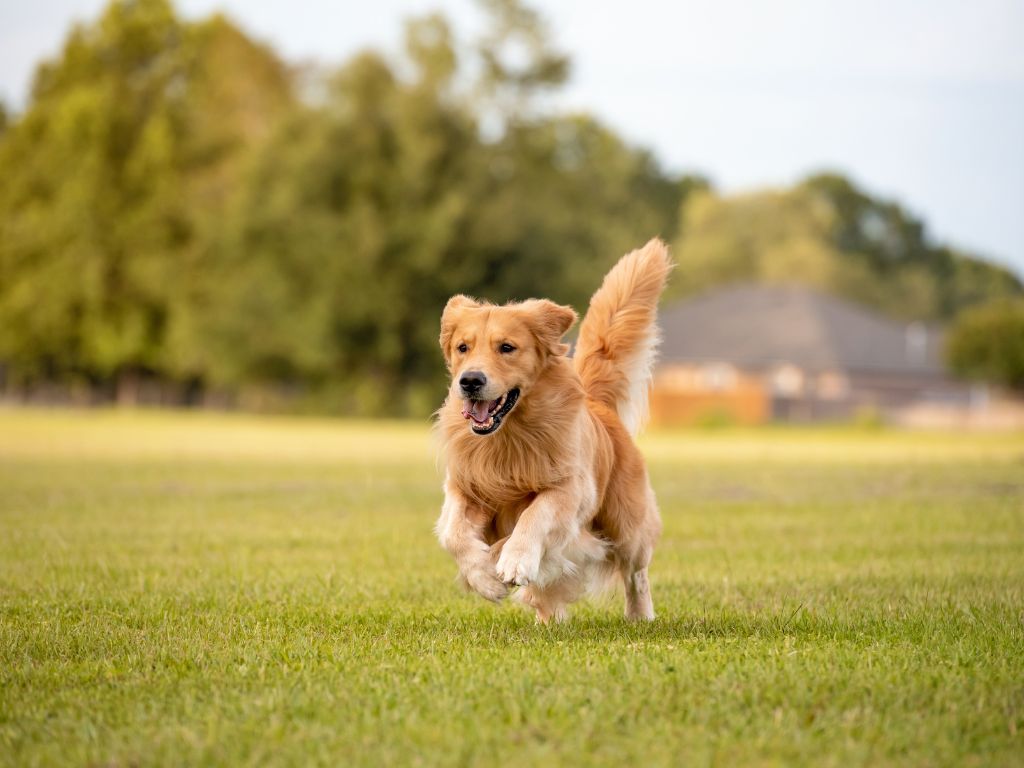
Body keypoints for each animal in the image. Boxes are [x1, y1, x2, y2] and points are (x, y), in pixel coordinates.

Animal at [434, 240, 667, 626]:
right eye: (462, 347)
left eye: (507, 347)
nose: (470, 381)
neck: (509, 435)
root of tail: (598, 405)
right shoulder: (464, 486)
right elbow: (453, 533)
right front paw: (483, 576)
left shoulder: (570, 489)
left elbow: (534, 514)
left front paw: (513, 559)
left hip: (626, 524)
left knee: (636, 572)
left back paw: (639, 614)